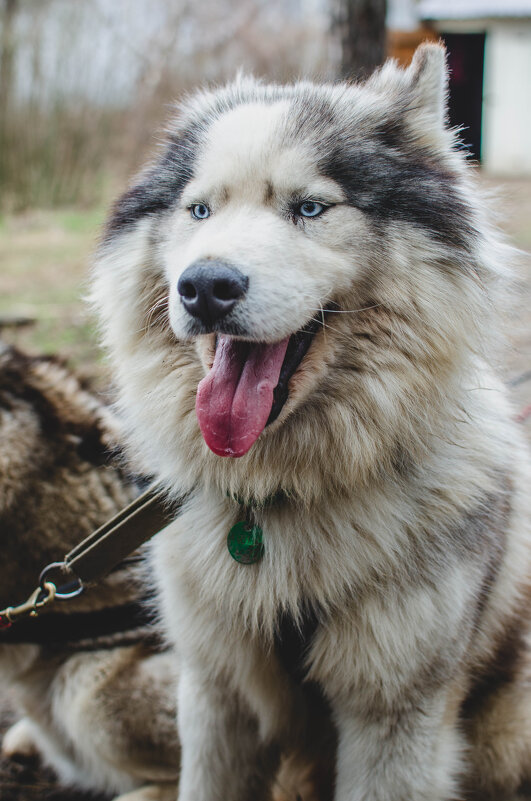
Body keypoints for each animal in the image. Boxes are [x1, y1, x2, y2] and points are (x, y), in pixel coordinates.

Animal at [93, 45, 531, 800]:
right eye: (199, 209)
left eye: (310, 208)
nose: (204, 287)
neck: (277, 500)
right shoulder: (214, 692)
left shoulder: (396, 717)